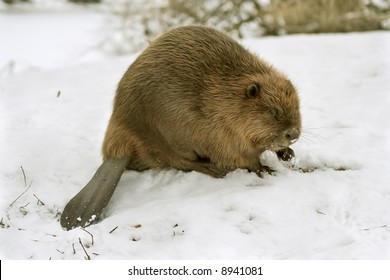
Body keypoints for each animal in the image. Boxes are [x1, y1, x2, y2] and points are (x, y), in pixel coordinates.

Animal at [60, 25, 302, 230]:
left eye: (296, 106)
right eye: (272, 112)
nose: (293, 133)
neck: (227, 96)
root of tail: (116, 153)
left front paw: (287, 154)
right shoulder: (221, 131)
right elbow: (243, 157)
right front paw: (266, 169)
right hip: (169, 136)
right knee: (180, 161)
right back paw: (212, 169)